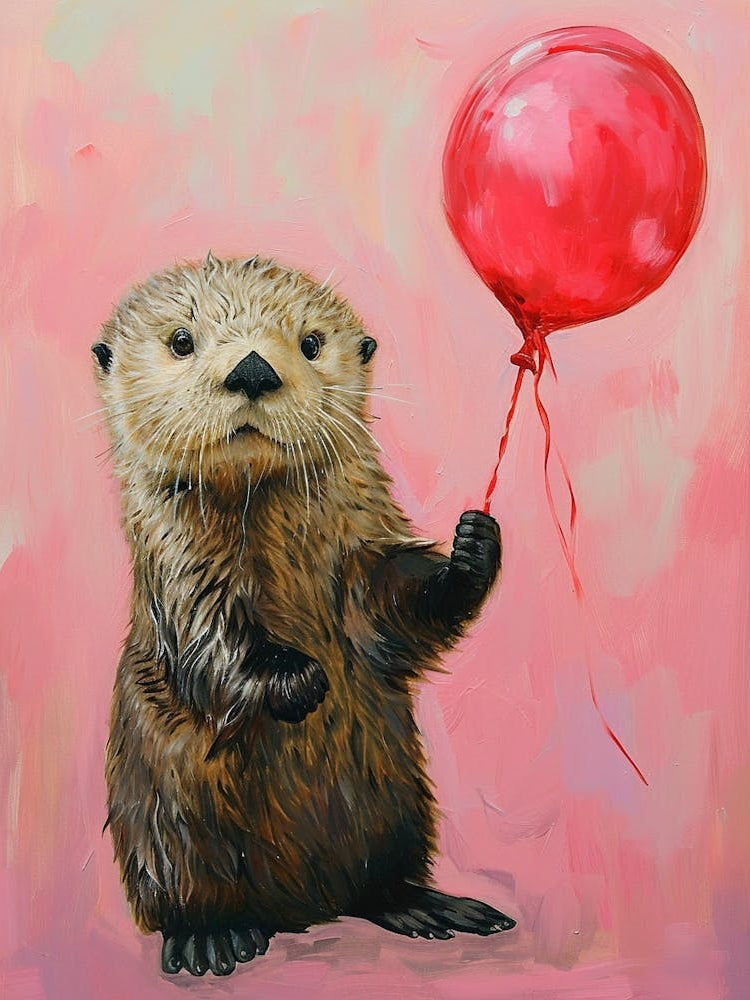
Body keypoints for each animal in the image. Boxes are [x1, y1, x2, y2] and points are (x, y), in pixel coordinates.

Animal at [94, 251, 515, 978]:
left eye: (312, 342)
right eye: (181, 340)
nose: (252, 370)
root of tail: (303, 908)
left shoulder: (358, 548)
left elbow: (389, 616)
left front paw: (471, 552)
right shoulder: (179, 569)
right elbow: (210, 642)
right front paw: (300, 681)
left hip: (399, 798)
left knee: (378, 881)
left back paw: (428, 907)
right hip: (166, 818)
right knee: (186, 889)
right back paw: (212, 939)